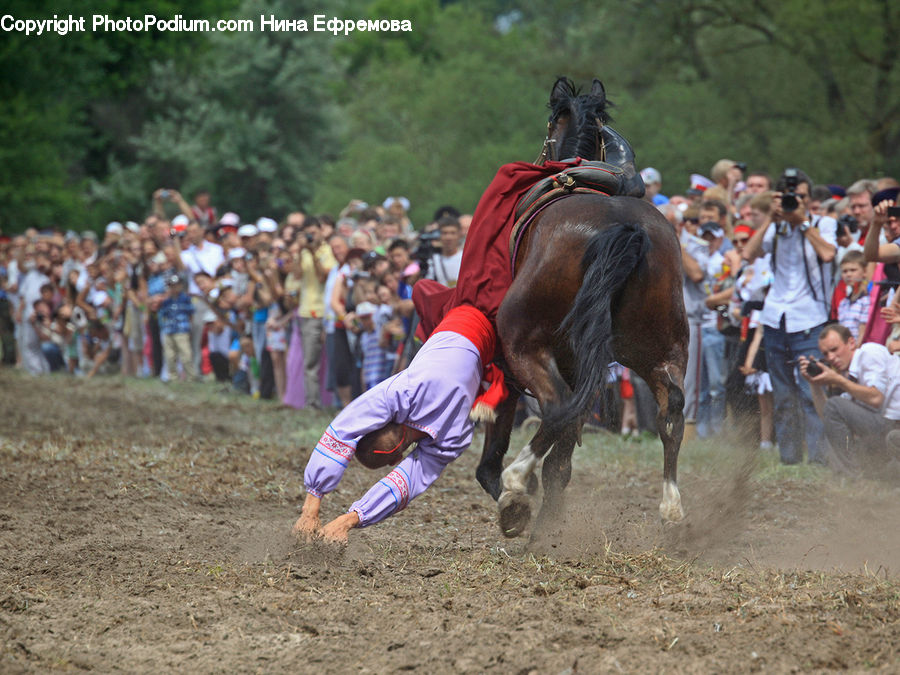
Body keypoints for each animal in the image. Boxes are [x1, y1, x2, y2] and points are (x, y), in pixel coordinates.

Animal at [474, 77, 689, 538]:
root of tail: (622, 227)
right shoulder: (584, 362)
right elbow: (563, 456)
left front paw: (516, 500)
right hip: (659, 346)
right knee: (671, 412)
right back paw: (670, 506)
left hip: (525, 345)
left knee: (556, 407)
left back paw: (517, 485)